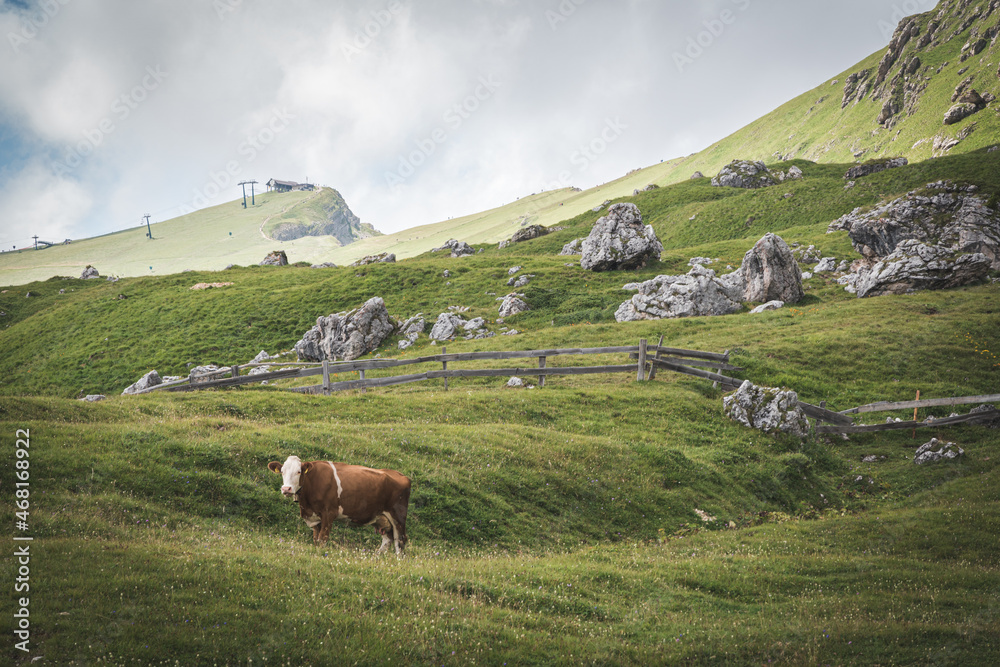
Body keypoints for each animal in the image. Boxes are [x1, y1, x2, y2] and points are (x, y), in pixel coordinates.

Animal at [268, 456, 412, 556]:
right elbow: (316, 539)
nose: (286, 489)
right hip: (381, 517)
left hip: (398, 516)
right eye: (282, 471)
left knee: (399, 540)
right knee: (387, 540)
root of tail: (401, 475)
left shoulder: (329, 513)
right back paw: (375, 557)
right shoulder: (314, 517)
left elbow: (322, 539)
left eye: (299, 472)